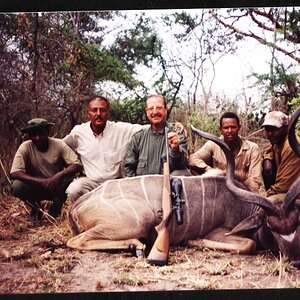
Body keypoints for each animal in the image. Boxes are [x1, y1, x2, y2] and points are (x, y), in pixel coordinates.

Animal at [67, 107, 300, 264]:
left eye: (297, 223)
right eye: (270, 227)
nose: (295, 260)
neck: (241, 206)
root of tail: (77, 206)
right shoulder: (219, 233)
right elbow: (249, 245)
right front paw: (193, 242)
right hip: (138, 220)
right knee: (76, 241)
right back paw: (137, 246)